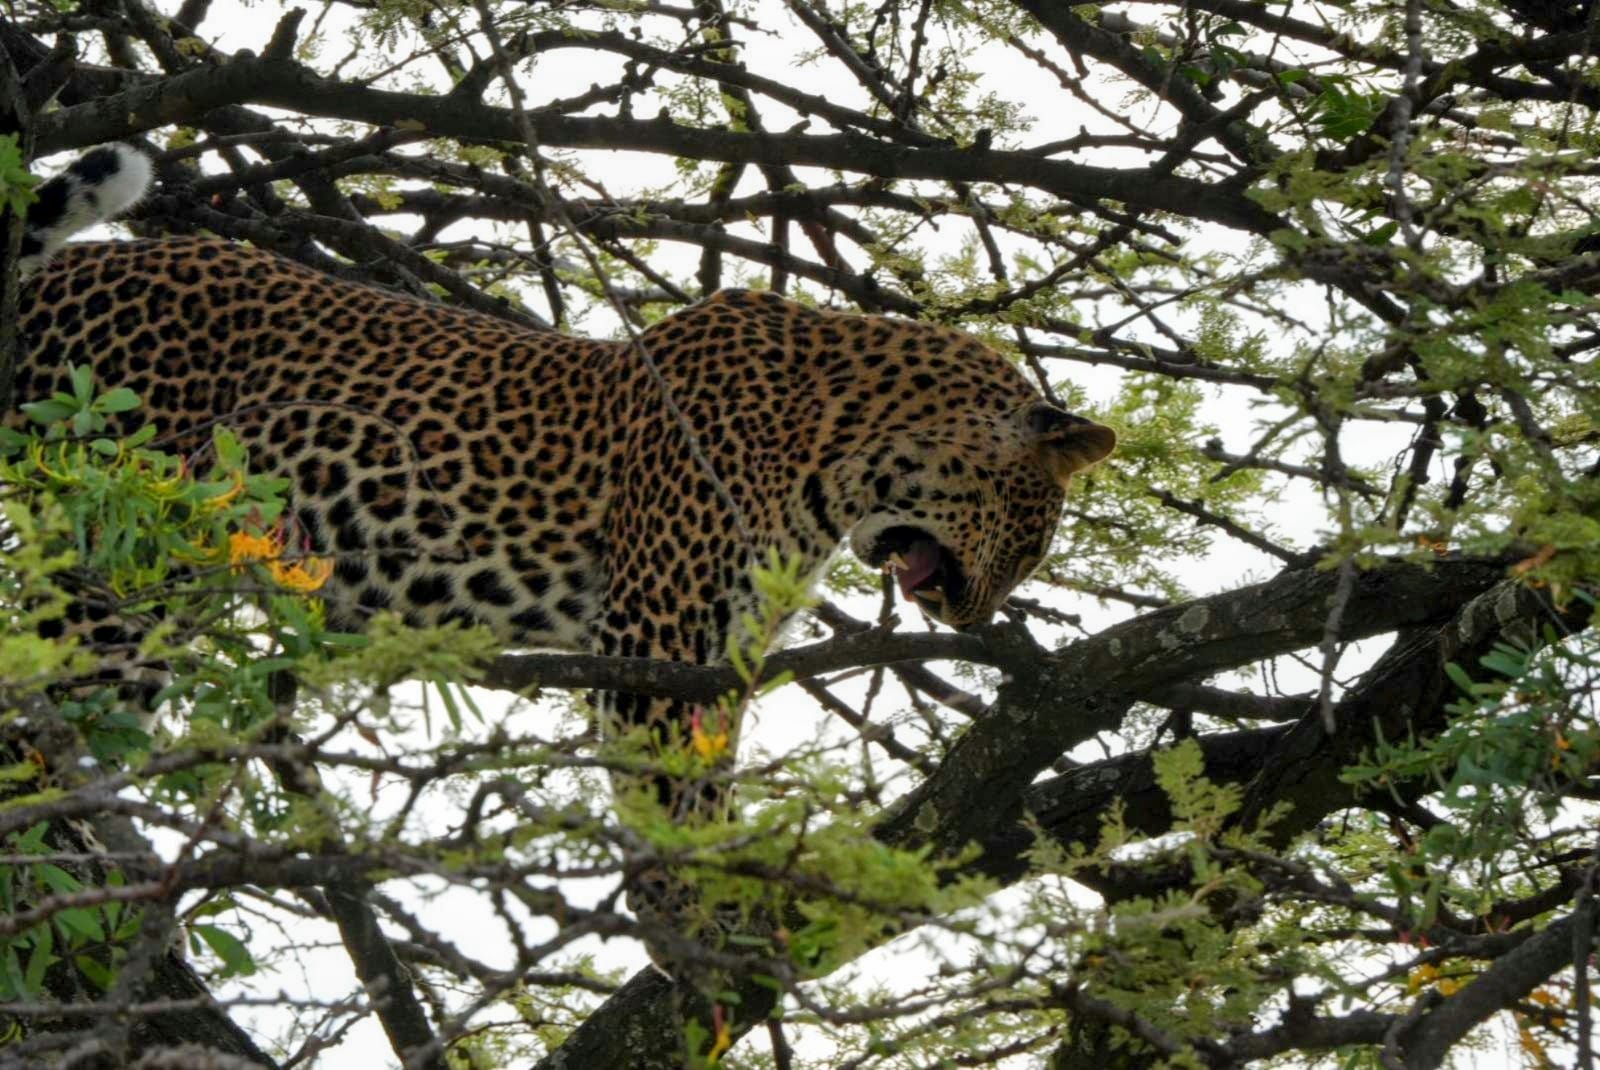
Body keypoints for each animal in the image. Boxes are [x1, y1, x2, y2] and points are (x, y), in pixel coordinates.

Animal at [10, 146, 1117, 807]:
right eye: (1029, 536)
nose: (976, 617)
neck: (839, 443)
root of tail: (63, 272)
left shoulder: (716, 652)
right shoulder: (657, 628)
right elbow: (668, 797)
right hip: (113, 551)